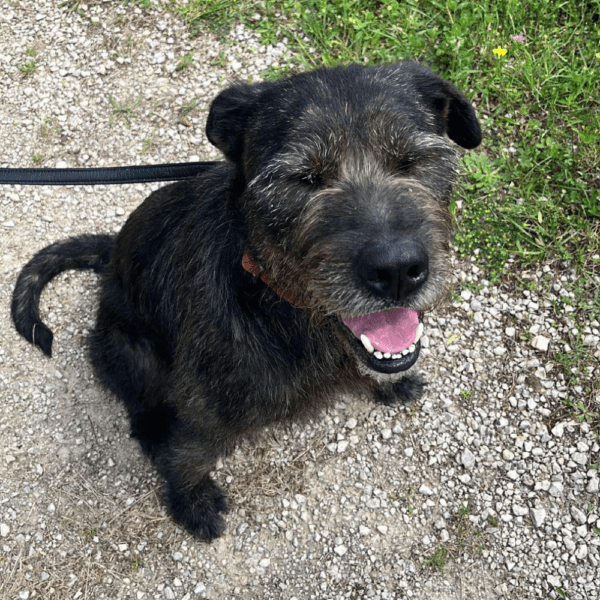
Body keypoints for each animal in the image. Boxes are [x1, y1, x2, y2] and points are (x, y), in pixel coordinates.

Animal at [11, 61, 482, 540]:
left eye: (412, 160)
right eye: (303, 178)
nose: (397, 271)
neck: (279, 302)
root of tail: (110, 259)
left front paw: (389, 383)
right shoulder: (202, 411)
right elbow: (187, 458)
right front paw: (191, 504)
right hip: (133, 352)